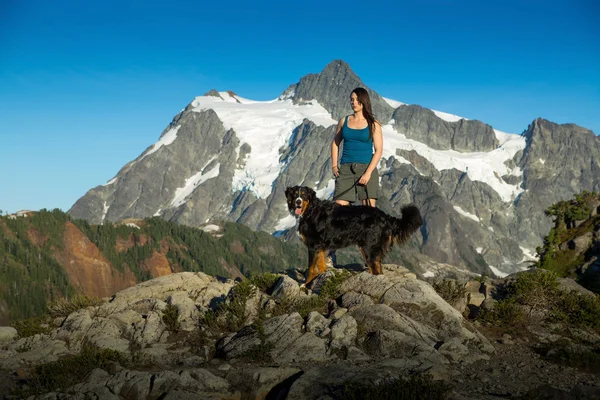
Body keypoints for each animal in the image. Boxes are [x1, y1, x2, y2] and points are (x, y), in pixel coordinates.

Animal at [284, 186, 422, 286]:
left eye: (304, 195)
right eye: (295, 194)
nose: (298, 202)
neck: (310, 211)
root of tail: (385, 216)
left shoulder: (313, 245)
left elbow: (312, 267)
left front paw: (305, 285)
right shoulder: (321, 247)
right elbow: (321, 265)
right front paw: (320, 279)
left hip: (370, 248)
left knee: (377, 270)